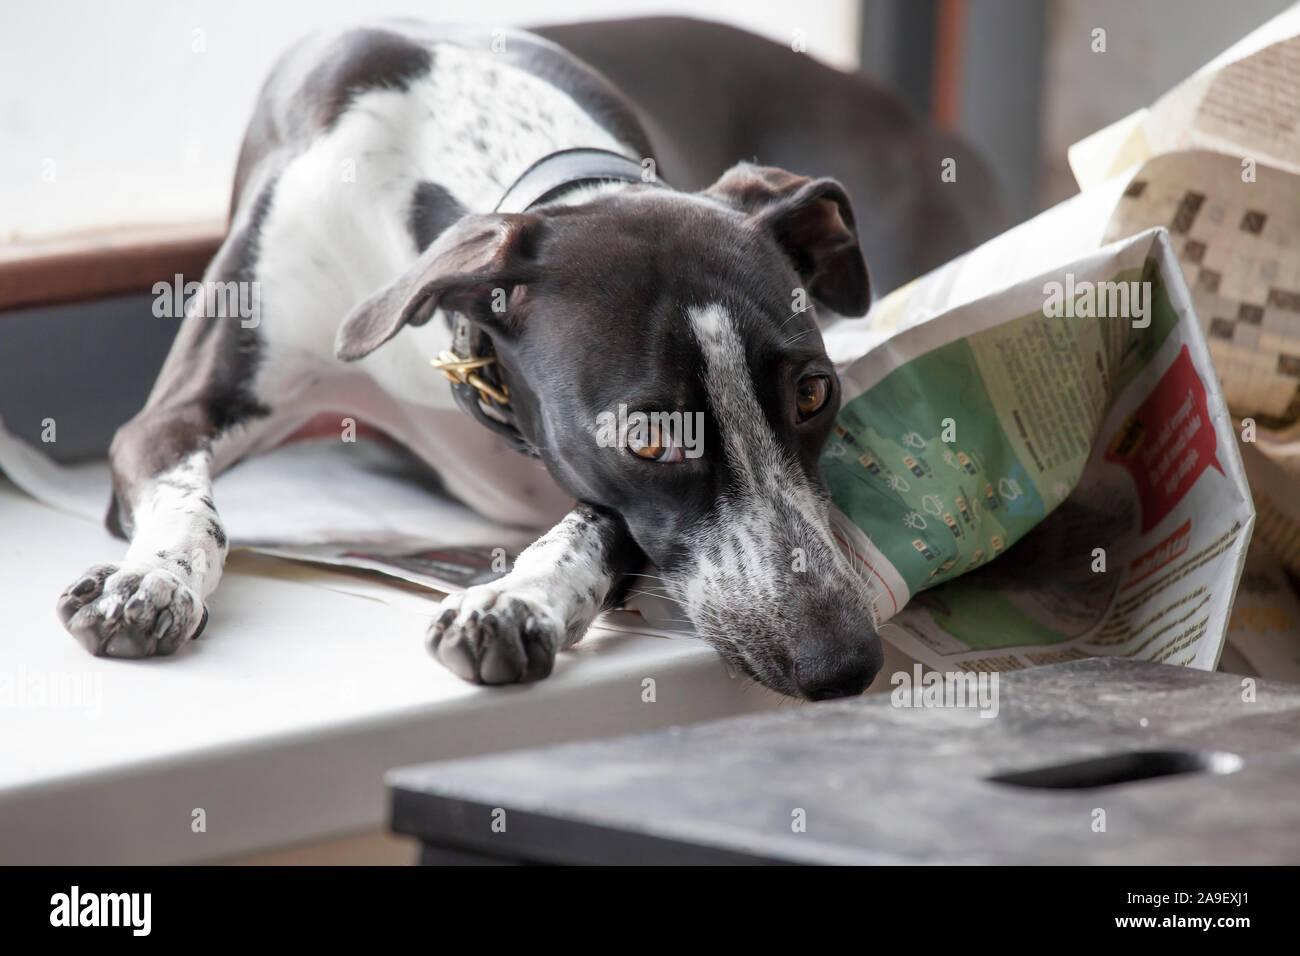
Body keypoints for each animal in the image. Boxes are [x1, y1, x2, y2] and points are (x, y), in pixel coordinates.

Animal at [50, 18, 987, 697]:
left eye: (814, 395)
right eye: (651, 440)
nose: (845, 664)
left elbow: (594, 527)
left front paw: (513, 600)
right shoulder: (175, 413)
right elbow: (188, 503)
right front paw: (150, 581)